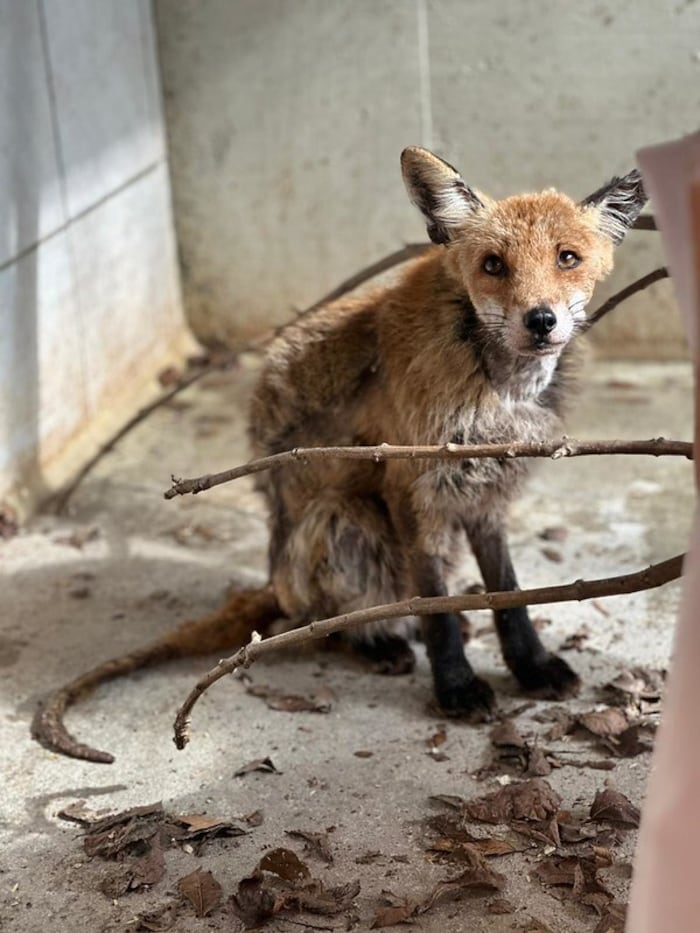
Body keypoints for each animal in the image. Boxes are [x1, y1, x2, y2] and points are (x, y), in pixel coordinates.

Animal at [33, 147, 647, 763]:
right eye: (494, 265)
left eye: (567, 258)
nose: (541, 320)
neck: (497, 390)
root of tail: (275, 577)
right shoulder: (412, 490)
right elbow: (437, 608)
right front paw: (454, 687)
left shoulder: (486, 494)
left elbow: (511, 595)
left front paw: (531, 667)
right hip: (347, 520)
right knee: (328, 619)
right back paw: (375, 643)